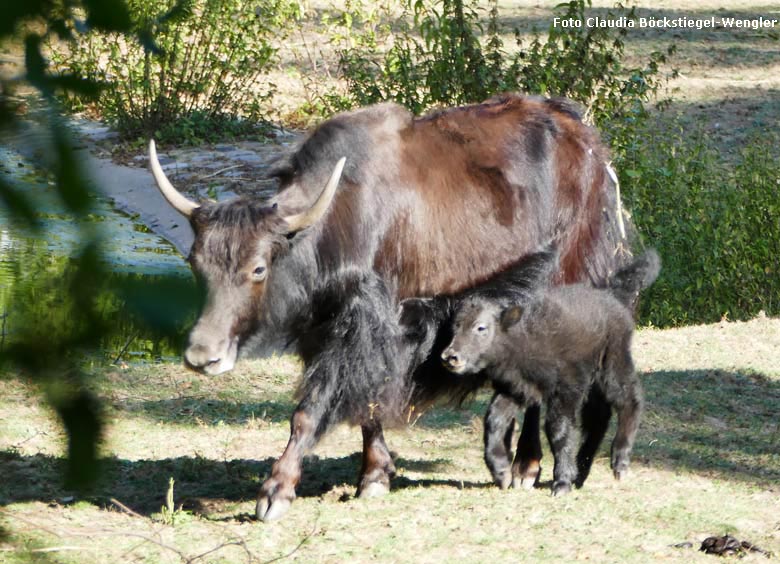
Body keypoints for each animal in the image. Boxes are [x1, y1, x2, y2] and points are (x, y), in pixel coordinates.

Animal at [442, 251, 660, 494]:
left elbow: (558, 429)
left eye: (481, 327)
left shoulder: (566, 391)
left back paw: (619, 464)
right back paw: (581, 472)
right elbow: (495, 420)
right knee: (598, 417)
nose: (450, 356)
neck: (523, 332)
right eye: (455, 326)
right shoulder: (517, 390)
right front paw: (501, 473)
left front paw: (562, 483)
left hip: (612, 365)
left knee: (629, 400)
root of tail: (613, 296)